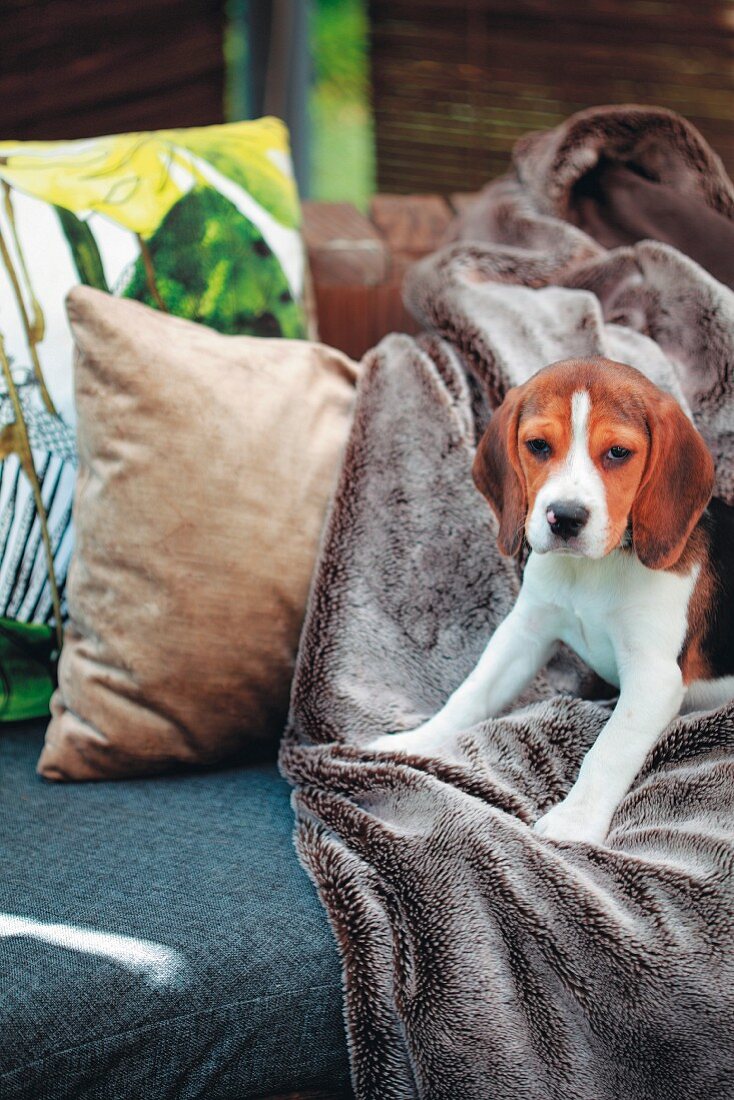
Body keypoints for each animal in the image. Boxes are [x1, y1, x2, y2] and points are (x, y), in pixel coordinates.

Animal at [376, 356, 730, 844]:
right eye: (539, 445)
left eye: (618, 453)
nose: (564, 517)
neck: (594, 570)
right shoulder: (524, 631)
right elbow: (471, 692)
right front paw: (418, 740)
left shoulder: (654, 676)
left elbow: (609, 748)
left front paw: (574, 822)